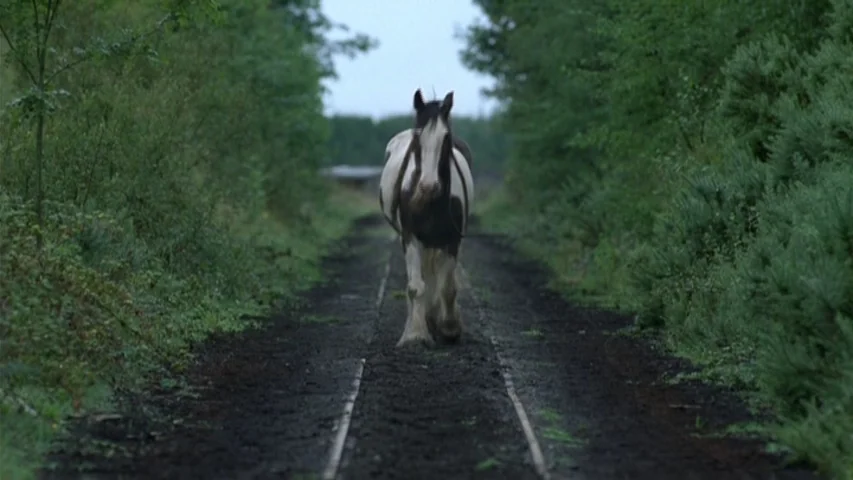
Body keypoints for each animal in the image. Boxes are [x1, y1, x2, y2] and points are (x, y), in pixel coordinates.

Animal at [378, 89, 475, 348]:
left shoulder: (453, 240)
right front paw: (415, 334)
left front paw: (449, 328)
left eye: (446, 137)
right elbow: (415, 286)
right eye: (418, 136)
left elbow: (448, 287)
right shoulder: (411, 237)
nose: (428, 186)